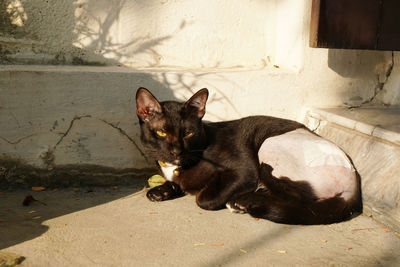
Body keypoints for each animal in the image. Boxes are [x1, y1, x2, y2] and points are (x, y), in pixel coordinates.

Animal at [135, 88, 362, 226]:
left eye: (188, 133)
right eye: (161, 133)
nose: (176, 151)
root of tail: (353, 182)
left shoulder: (243, 170)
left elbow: (204, 199)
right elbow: (173, 184)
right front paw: (162, 191)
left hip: (269, 147)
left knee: (295, 198)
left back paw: (242, 202)